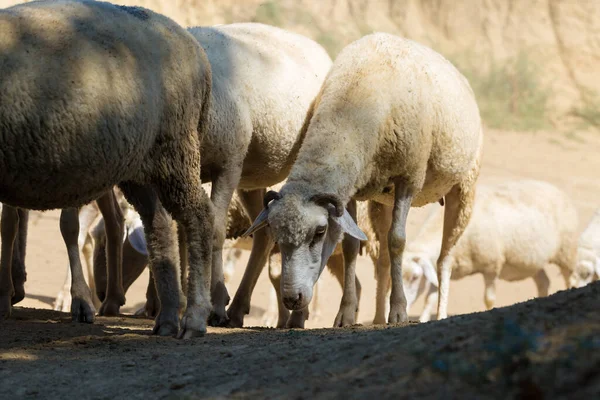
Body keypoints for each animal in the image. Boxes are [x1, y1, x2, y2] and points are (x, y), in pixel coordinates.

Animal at [0, 0, 213, 340]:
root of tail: (193, 46)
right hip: (140, 164)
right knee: (158, 223)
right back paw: (166, 317)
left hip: (175, 149)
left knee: (198, 217)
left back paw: (192, 318)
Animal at [244, 32, 482, 326]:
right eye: (276, 233)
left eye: (319, 232)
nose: (292, 299)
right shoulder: (351, 191)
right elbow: (350, 245)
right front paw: (346, 312)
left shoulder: (408, 179)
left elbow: (398, 241)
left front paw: (399, 310)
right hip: (382, 200)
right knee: (382, 259)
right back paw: (379, 316)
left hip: (464, 187)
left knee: (443, 259)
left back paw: (439, 313)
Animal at [400, 178, 580, 322]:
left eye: (415, 277)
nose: (404, 309)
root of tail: (557, 190)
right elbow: (431, 298)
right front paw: (424, 320)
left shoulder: (492, 266)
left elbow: (489, 299)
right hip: (533, 261)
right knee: (544, 282)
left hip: (567, 253)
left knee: (571, 279)